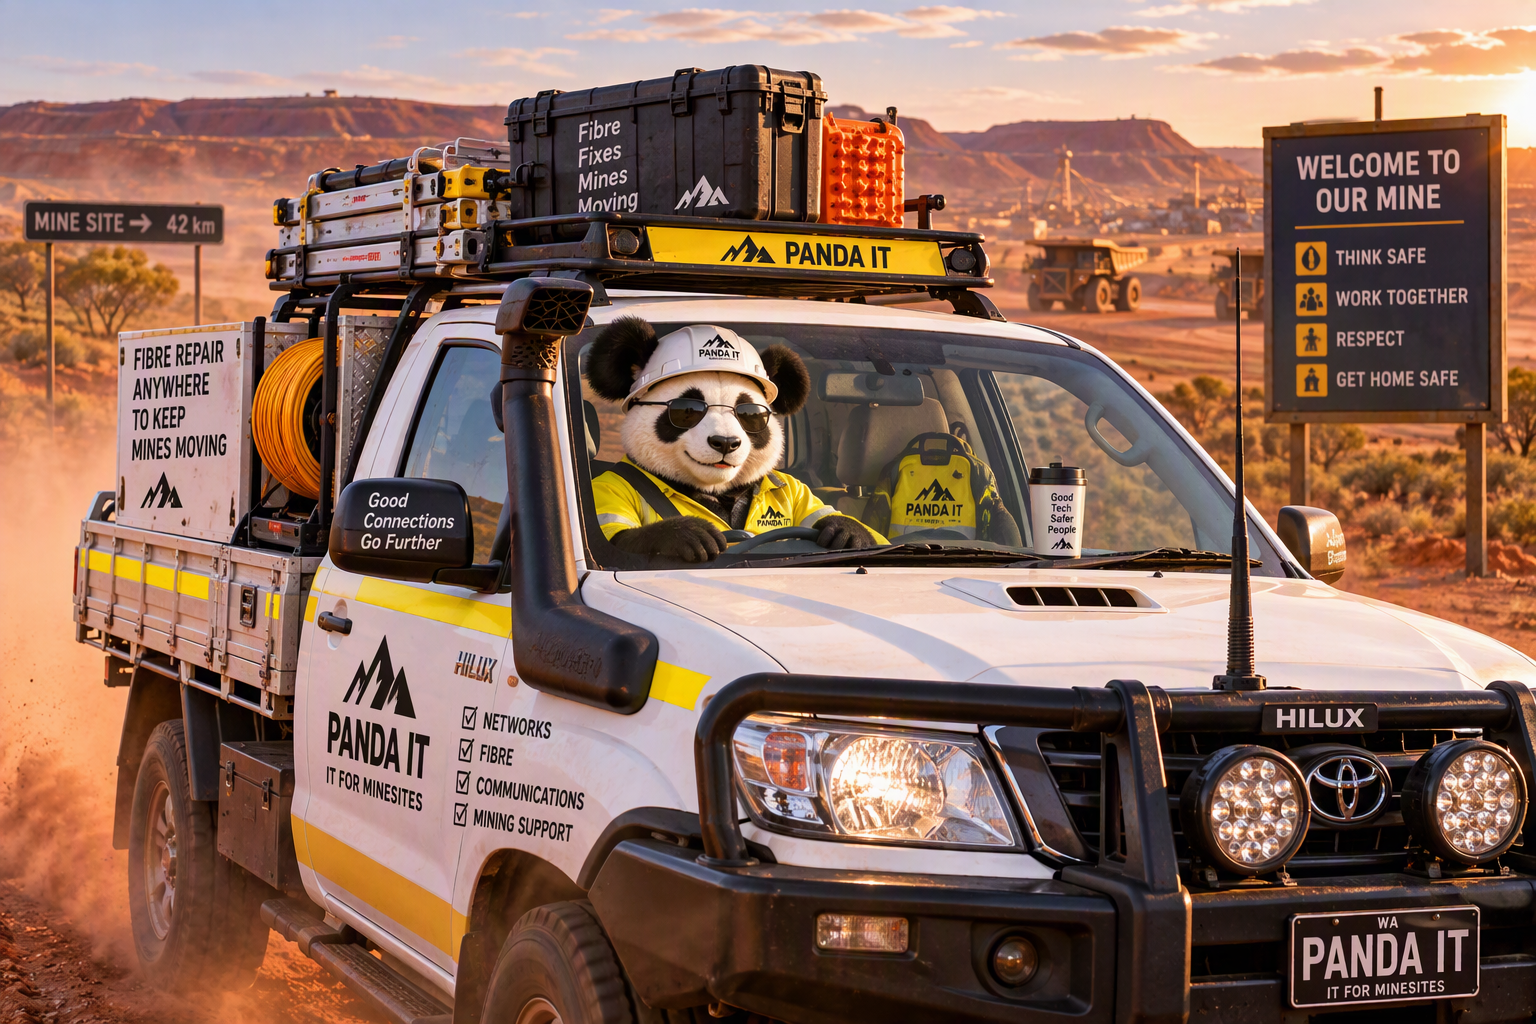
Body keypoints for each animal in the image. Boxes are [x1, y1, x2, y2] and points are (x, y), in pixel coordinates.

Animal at [584, 316, 881, 562]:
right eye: (687, 410)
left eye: (749, 413)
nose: (725, 443)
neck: (719, 491)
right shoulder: (610, 487)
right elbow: (616, 536)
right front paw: (690, 534)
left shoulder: (799, 490)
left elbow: (837, 519)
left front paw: (848, 531)